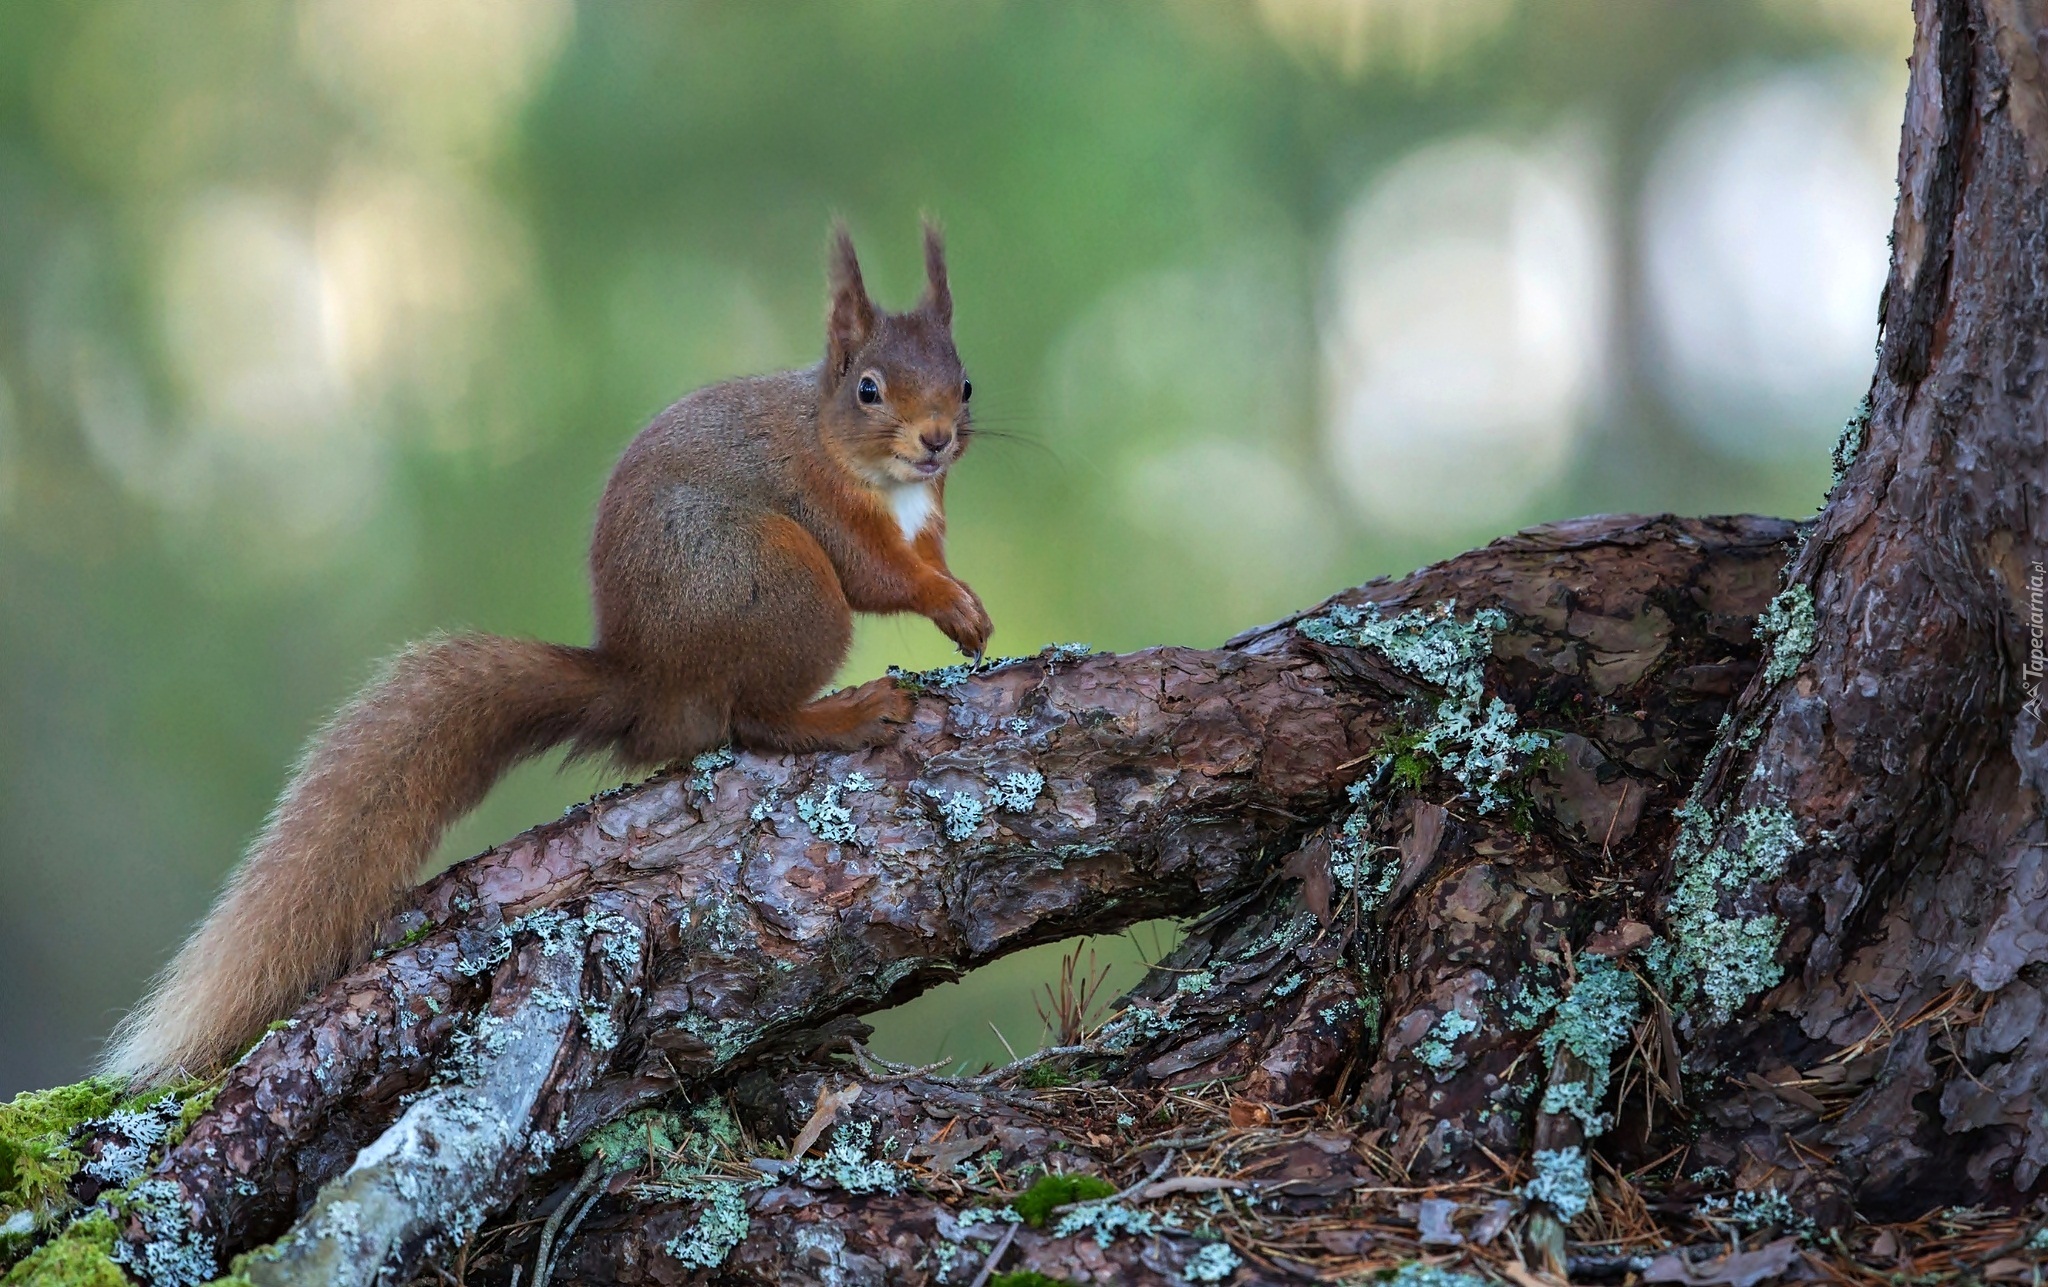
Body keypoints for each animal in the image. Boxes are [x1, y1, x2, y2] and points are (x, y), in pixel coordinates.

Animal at [110, 221, 991, 1082]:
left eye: (967, 384)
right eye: (869, 389)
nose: (937, 440)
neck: (861, 460)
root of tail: (651, 685)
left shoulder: (930, 516)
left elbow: (930, 560)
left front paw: (966, 608)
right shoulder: (822, 502)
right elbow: (879, 575)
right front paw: (944, 602)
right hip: (787, 588)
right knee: (754, 717)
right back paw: (847, 713)